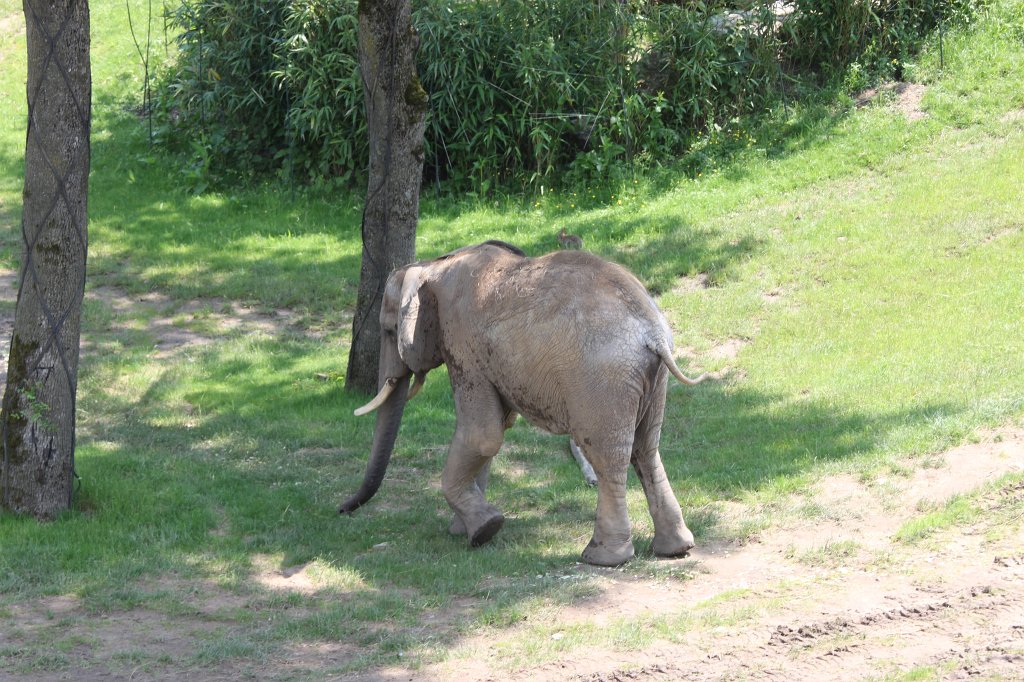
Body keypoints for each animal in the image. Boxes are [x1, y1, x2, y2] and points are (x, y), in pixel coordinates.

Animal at [340, 240, 707, 567]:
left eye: (389, 331)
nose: (341, 509)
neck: (432, 266)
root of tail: (653, 332)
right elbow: (490, 434)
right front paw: (466, 529)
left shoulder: (462, 344)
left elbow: (482, 435)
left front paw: (484, 530)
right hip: (652, 378)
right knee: (646, 449)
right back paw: (675, 549)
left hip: (603, 380)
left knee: (607, 456)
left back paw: (602, 558)